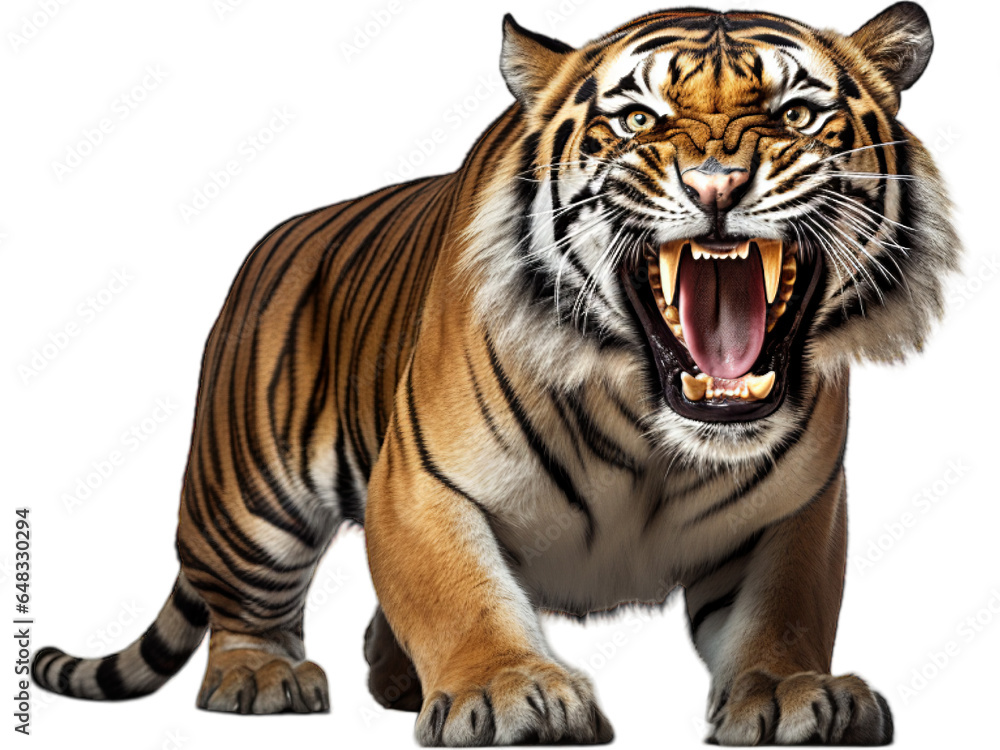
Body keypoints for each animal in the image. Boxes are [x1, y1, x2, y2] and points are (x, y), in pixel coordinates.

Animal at [32, 2, 958, 746]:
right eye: (637, 121)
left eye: (798, 113)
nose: (718, 185)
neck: (651, 424)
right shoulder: (421, 483)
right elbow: (461, 593)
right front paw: (509, 692)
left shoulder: (798, 505)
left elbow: (786, 610)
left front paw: (793, 690)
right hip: (250, 503)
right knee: (245, 608)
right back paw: (262, 678)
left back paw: (393, 677)